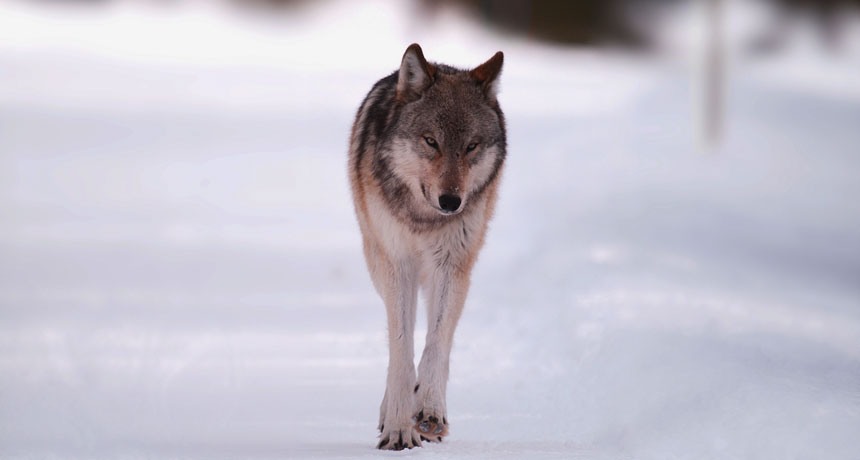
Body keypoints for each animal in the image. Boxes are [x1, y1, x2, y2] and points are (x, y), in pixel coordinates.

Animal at [348, 43, 506, 450]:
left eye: (471, 146)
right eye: (431, 141)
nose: (451, 202)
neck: (424, 219)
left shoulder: (452, 264)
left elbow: (436, 344)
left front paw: (429, 411)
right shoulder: (397, 263)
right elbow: (401, 349)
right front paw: (399, 427)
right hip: (375, 258)